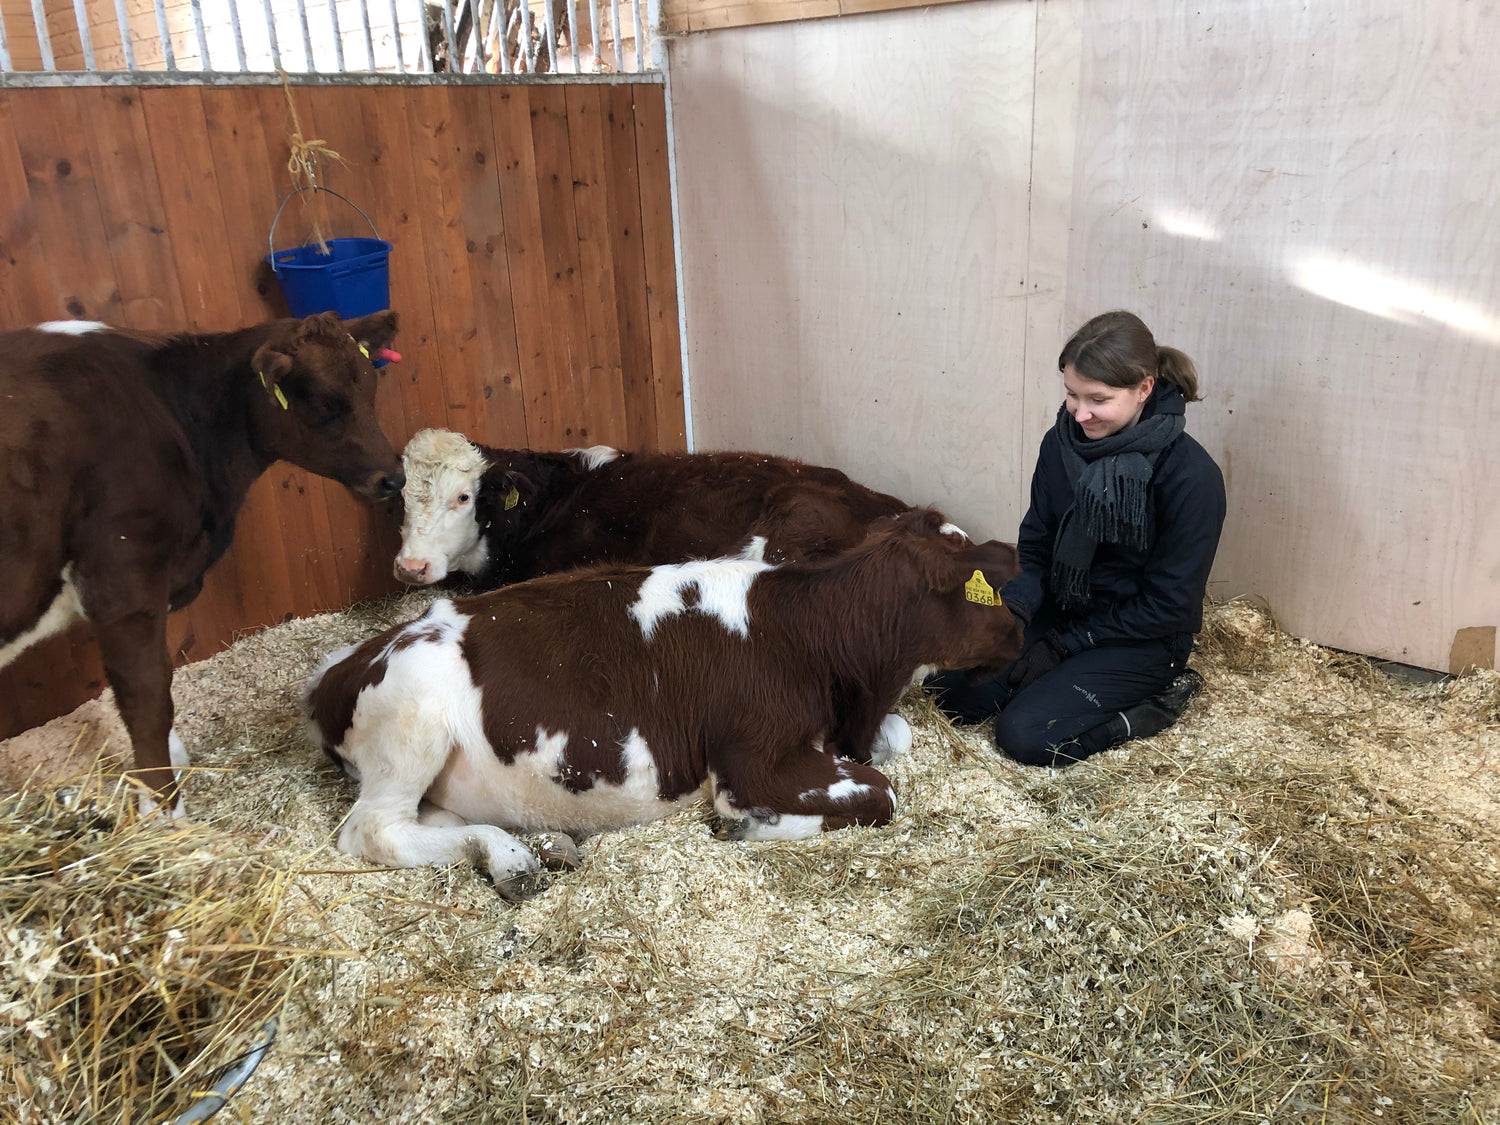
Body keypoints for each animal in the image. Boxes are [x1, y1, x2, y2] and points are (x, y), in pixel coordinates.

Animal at [0, 313, 408, 816]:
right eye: (323, 402)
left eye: (370, 387)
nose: (393, 478)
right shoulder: (124, 582)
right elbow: (147, 700)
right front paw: (164, 809)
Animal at [306, 513, 1032, 900]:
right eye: (989, 590)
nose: (1024, 633)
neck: (808, 633)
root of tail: (342, 666)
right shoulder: (756, 762)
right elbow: (879, 793)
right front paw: (751, 827)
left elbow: (897, 740)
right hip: (414, 721)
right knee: (374, 830)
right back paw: (514, 857)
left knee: (437, 819)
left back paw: (525, 850)